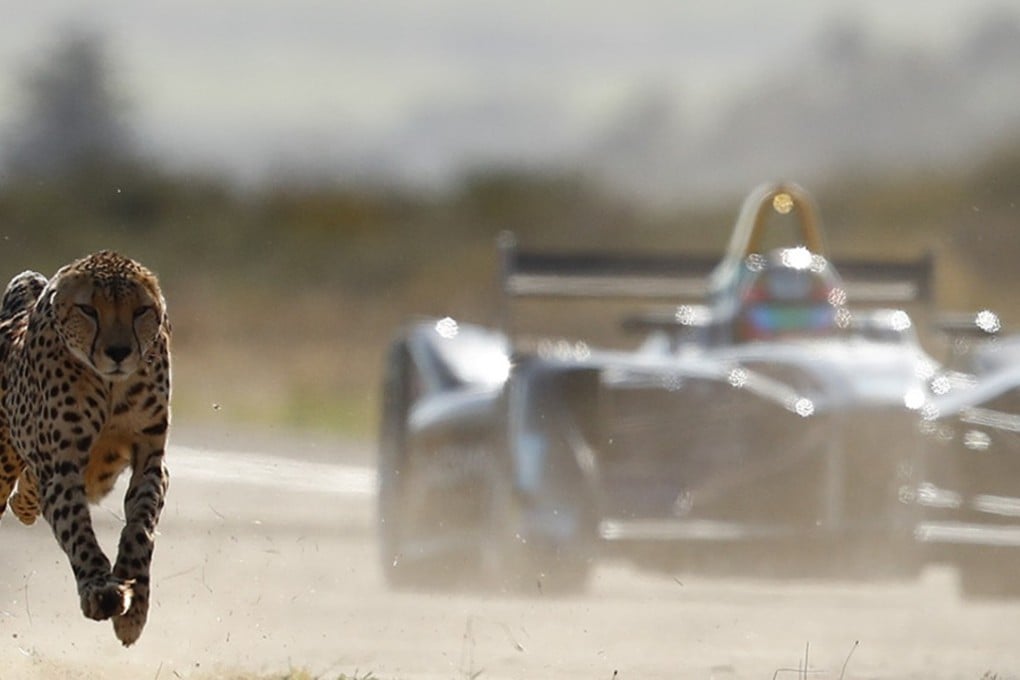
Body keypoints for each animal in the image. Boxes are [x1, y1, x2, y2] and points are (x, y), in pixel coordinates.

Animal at [0, 250, 171, 647]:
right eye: (88, 310)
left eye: (141, 311)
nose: (119, 352)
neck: (110, 385)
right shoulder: (61, 467)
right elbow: (75, 527)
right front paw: (99, 587)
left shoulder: (151, 460)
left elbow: (141, 525)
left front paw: (134, 606)